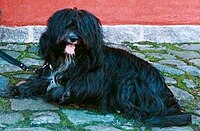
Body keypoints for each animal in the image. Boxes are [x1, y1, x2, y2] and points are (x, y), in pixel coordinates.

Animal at [0, 7, 191, 126]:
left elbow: (63, 90)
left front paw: (56, 93)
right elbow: (38, 82)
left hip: (130, 81)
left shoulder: (92, 84)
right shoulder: (51, 73)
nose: (72, 38)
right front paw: (15, 89)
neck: (72, 60)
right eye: (66, 26)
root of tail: (165, 90)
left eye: (81, 28)